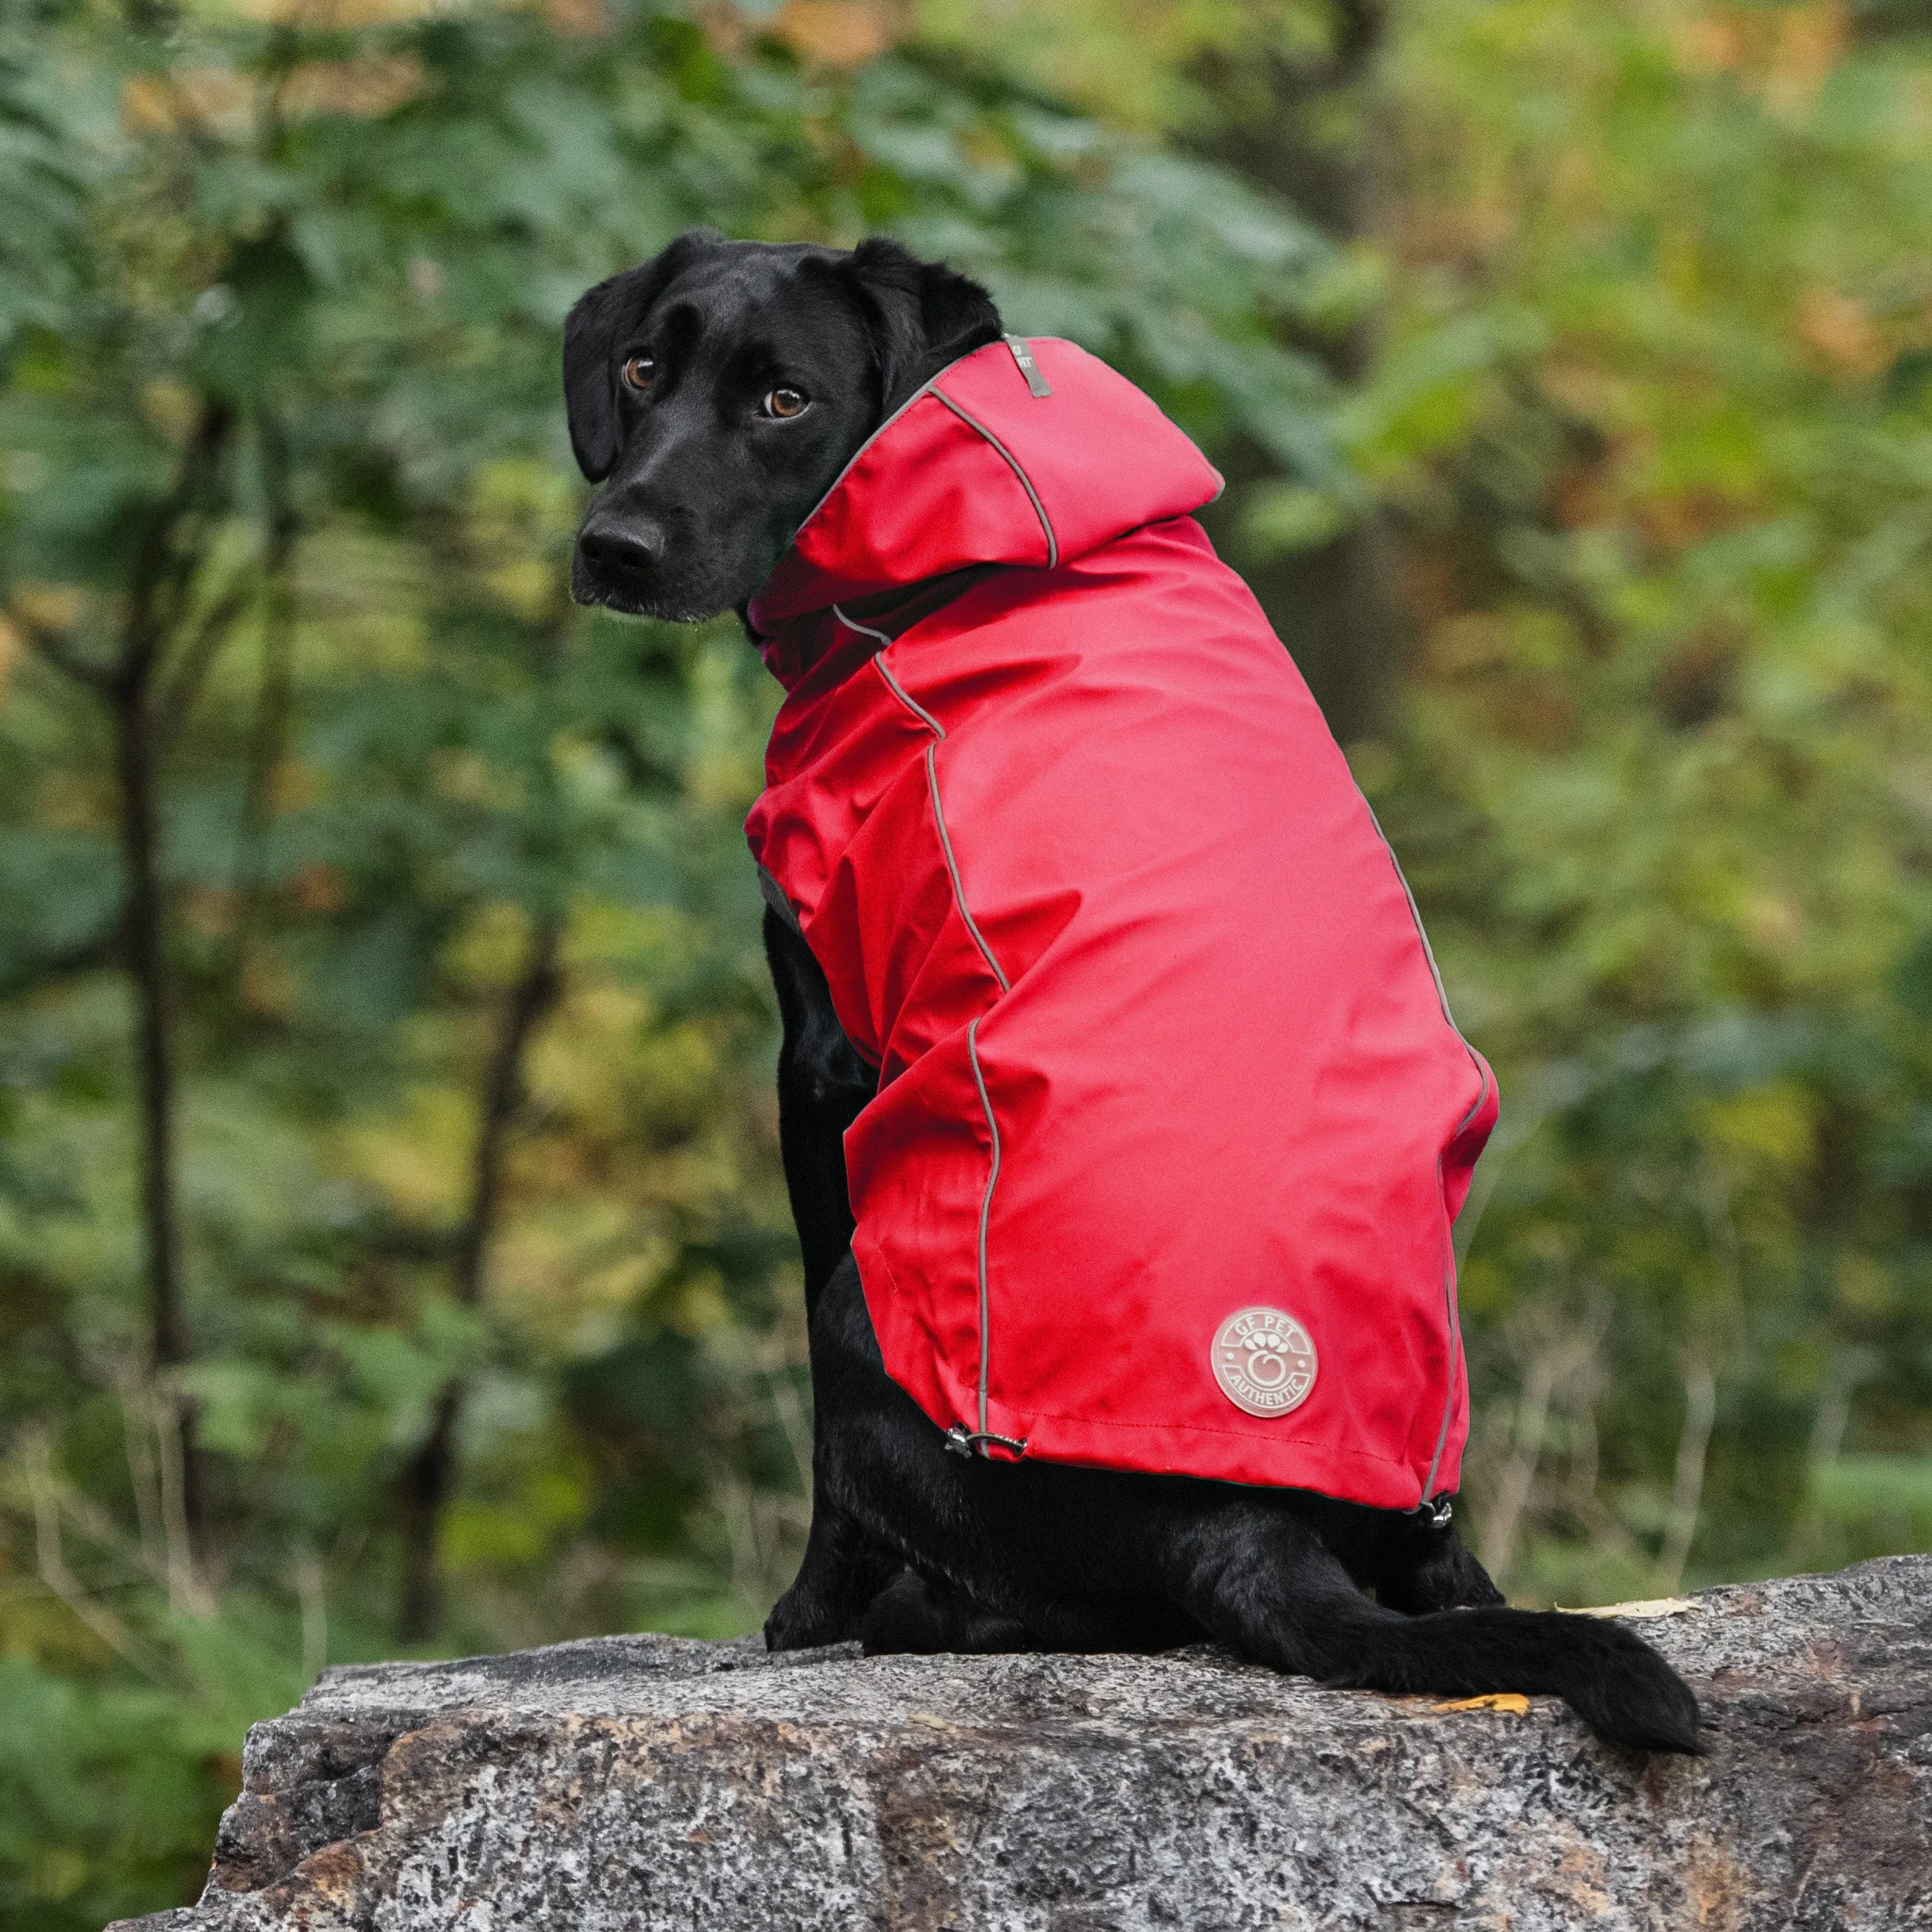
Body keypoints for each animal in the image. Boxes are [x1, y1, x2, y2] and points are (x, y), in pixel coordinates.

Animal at [564, 225, 1700, 1754]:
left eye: (783, 400)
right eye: (642, 369)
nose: (610, 546)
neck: (991, 517)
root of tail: (1239, 1520)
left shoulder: (827, 1062)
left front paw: (797, 1616)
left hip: (871, 1296)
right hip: (1418, 1499)